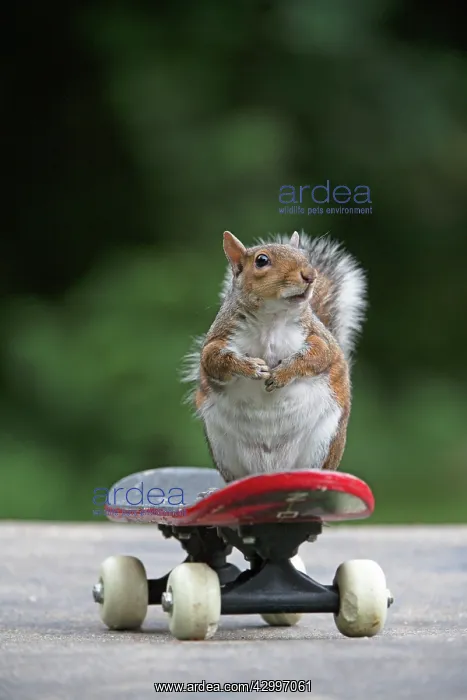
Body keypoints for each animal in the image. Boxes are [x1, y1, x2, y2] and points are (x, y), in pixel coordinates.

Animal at [182, 230, 367, 485]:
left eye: (305, 256)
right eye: (261, 260)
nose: (310, 275)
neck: (272, 319)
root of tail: (272, 470)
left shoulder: (319, 337)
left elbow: (317, 356)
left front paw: (282, 373)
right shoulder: (218, 338)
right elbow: (215, 360)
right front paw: (250, 367)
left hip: (324, 441)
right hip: (222, 448)